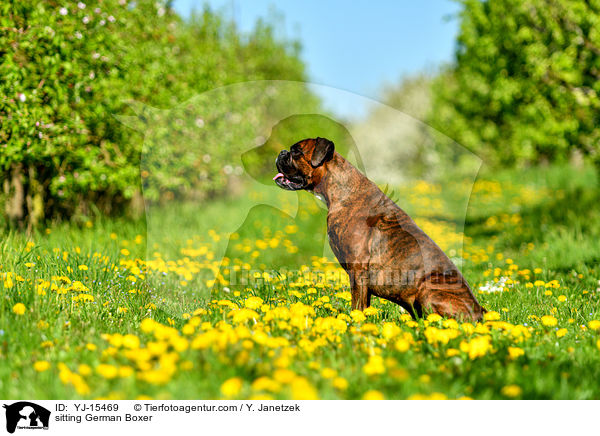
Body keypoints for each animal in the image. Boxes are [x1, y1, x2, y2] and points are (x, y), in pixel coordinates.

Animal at [274, 136, 486, 320]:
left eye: (296, 151)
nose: (282, 152)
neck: (341, 190)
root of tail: (480, 312)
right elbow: (365, 304)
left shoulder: (357, 268)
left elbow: (357, 305)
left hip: (428, 289)